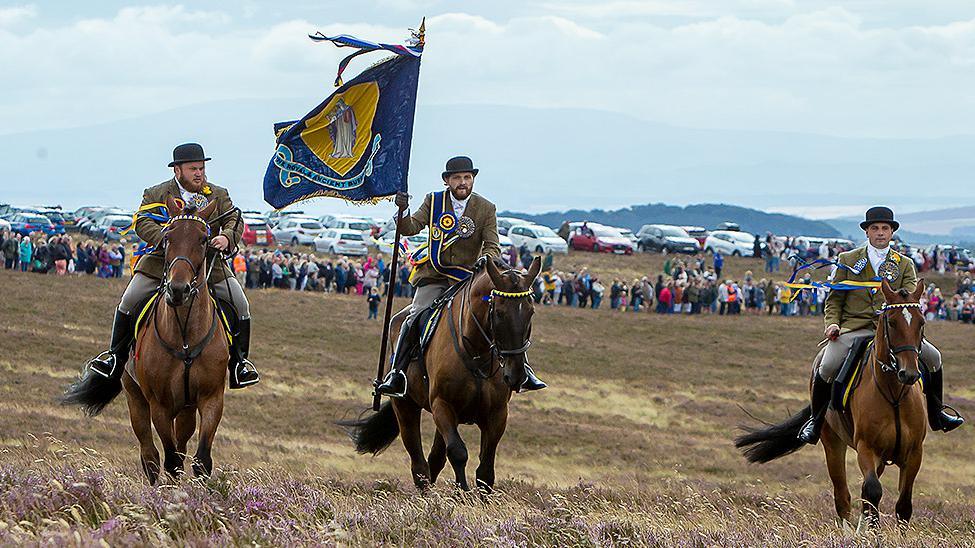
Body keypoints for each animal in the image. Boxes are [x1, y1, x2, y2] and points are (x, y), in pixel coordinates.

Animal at [62, 198, 230, 484]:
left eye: (204, 239)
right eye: (168, 238)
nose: (178, 289)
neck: (185, 335)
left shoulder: (211, 398)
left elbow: (201, 460)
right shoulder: (159, 405)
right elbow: (170, 460)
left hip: (186, 408)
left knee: (181, 444)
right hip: (136, 398)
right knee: (150, 455)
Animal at [342, 256, 540, 492]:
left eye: (530, 311)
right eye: (499, 313)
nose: (516, 374)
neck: (476, 351)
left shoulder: (497, 414)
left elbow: (485, 470)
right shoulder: (442, 406)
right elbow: (458, 452)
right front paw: (461, 493)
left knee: (434, 459)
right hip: (406, 407)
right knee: (419, 463)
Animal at [740, 280, 932, 528]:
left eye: (921, 322)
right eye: (892, 322)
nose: (908, 374)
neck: (895, 395)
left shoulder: (914, 453)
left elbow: (903, 505)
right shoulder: (866, 449)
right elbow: (872, 492)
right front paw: (873, 532)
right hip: (833, 444)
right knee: (843, 497)